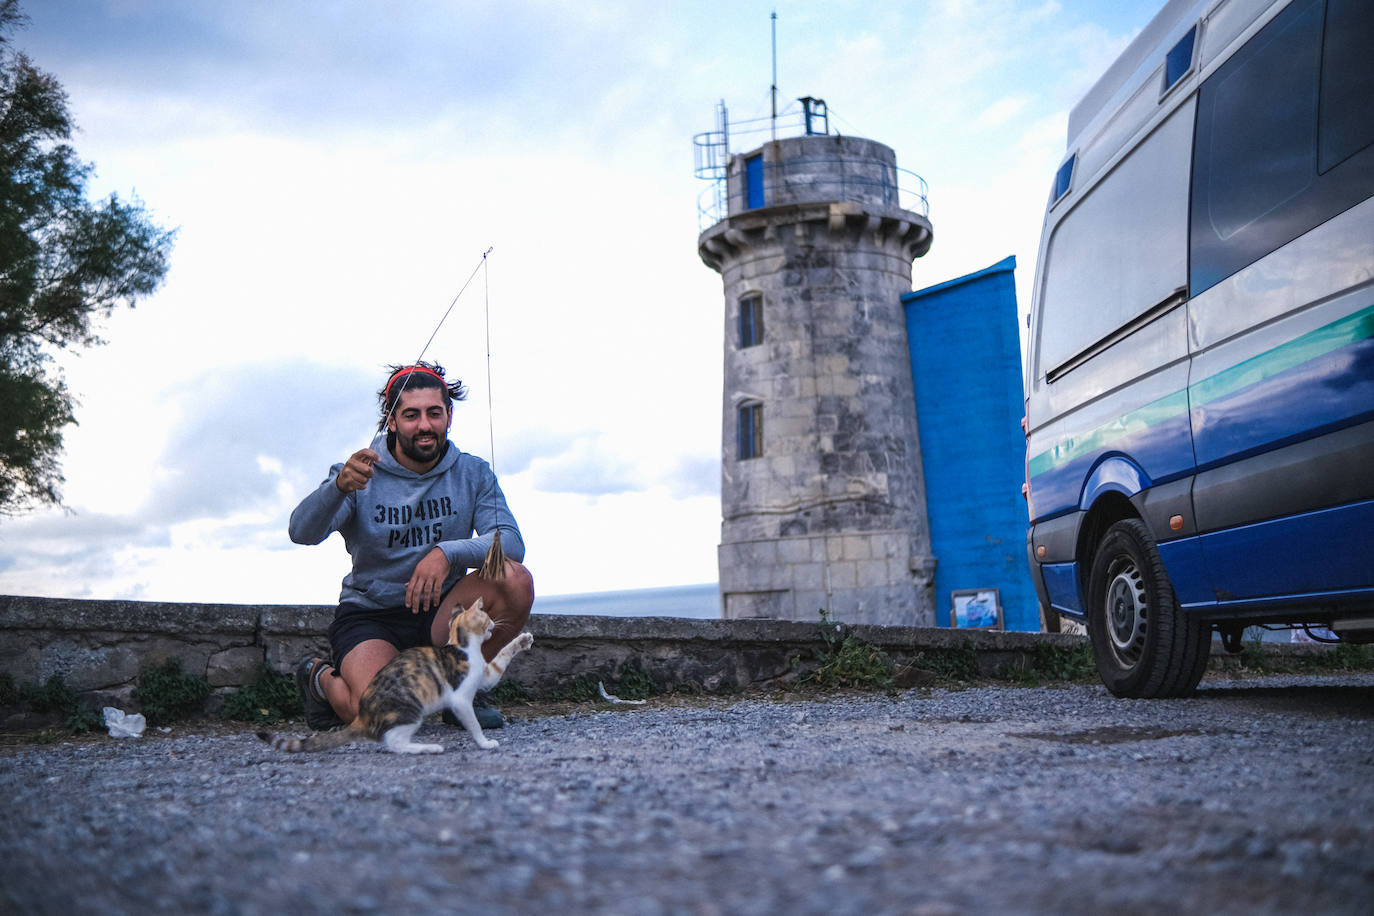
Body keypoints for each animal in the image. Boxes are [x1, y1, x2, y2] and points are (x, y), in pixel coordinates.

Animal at [258, 598, 530, 758]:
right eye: (487, 617)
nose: (494, 622)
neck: (462, 646)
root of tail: (362, 717)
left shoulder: (486, 675)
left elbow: (501, 657)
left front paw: (522, 640)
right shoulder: (460, 698)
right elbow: (472, 723)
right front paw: (484, 743)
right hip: (411, 709)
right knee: (394, 742)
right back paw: (427, 748)